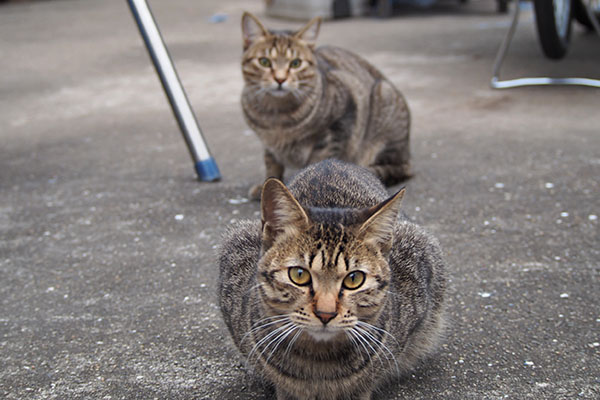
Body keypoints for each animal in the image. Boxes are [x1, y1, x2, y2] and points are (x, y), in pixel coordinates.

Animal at [241, 12, 410, 200]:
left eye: (296, 63)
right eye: (264, 62)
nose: (280, 79)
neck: (277, 117)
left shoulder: (336, 125)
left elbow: (319, 162)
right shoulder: (268, 145)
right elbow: (272, 163)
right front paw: (267, 185)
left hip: (384, 100)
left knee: (397, 168)